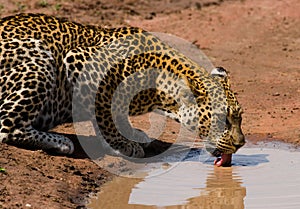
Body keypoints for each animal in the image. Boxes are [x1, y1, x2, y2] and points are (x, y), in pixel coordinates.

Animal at [0, 13, 244, 163]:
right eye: (223, 118)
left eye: (239, 118)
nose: (241, 144)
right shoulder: (80, 61)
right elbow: (106, 113)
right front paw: (119, 143)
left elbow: (117, 114)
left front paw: (131, 133)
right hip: (41, 63)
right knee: (7, 128)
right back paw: (61, 142)